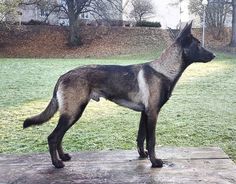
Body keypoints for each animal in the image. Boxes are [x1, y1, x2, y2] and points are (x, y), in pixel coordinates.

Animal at [24, 21, 216, 168]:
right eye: (198, 44)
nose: (214, 55)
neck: (163, 70)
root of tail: (63, 75)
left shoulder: (145, 114)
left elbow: (141, 137)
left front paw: (143, 155)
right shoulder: (153, 113)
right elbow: (151, 140)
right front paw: (154, 162)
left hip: (73, 113)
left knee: (59, 137)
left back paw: (63, 157)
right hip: (73, 112)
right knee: (53, 137)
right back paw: (57, 163)